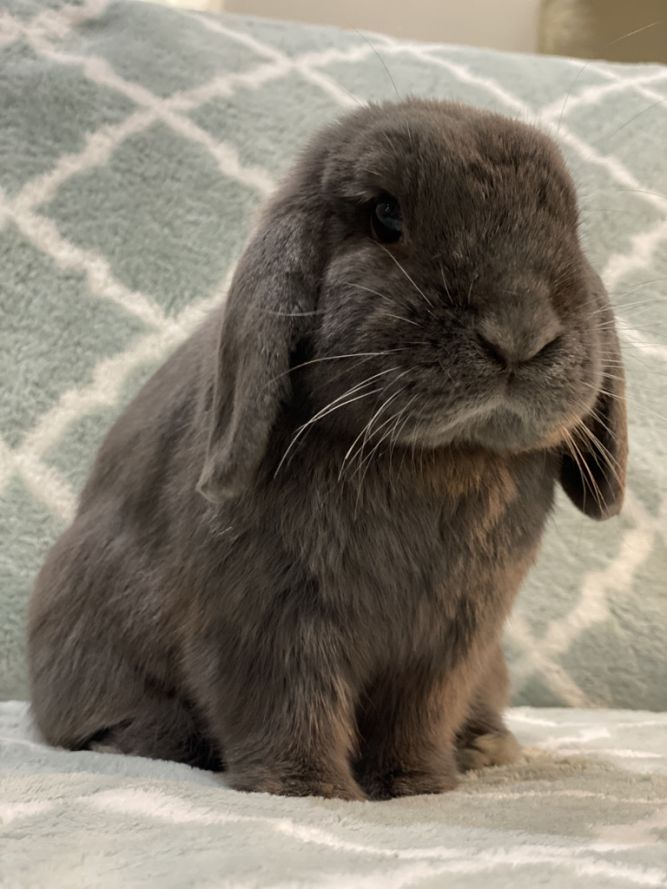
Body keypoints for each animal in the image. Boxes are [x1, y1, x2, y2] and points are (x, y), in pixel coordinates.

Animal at [30, 100, 628, 800]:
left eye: (571, 225)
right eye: (385, 215)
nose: (521, 331)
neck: (432, 454)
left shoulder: (453, 639)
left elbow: (416, 714)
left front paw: (419, 787)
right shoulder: (269, 622)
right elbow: (289, 706)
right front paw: (309, 791)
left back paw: (485, 748)